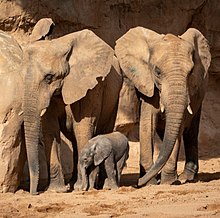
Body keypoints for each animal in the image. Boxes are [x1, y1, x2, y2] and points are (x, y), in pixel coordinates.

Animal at [22, 26, 122, 194]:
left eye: (49, 77)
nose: (34, 192)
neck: (60, 44)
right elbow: (50, 129)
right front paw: (56, 190)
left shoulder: (92, 86)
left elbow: (82, 127)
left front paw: (82, 188)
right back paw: (74, 183)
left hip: (114, 99)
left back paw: (103, 185)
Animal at [114, 26, 211, 186]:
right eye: (157, 72)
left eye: (191, 72)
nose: (137, 184)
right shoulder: (148, 83)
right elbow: (148, 124)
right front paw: (150, 182)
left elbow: (179, 127)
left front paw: (168, 181)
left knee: (190, 131)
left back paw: (186, 177)